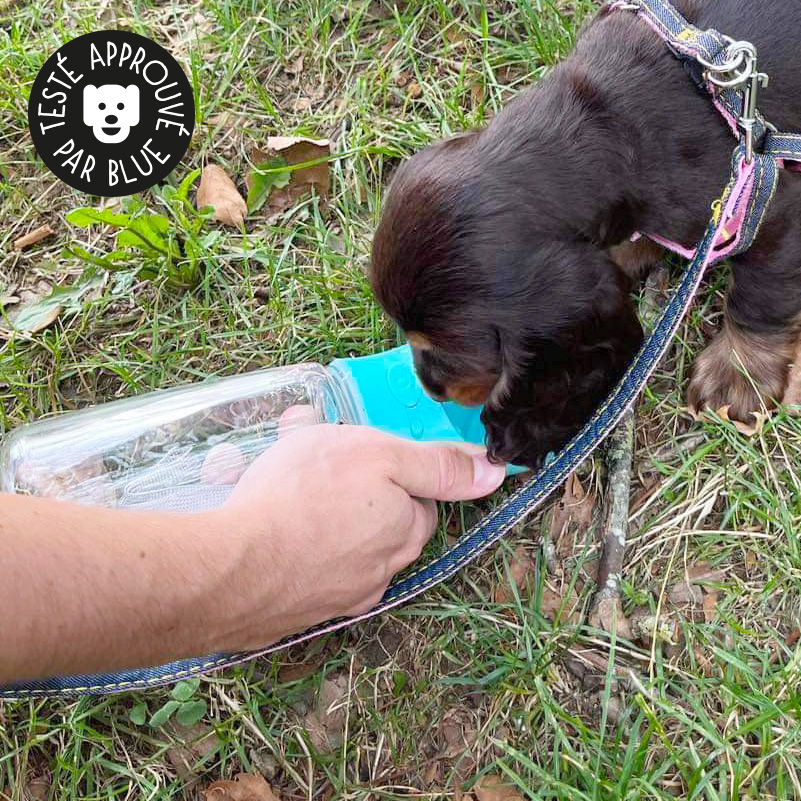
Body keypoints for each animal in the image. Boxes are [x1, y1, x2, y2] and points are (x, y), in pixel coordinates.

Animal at [368, 0, 800, 466]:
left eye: (445, 353)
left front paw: (736, 375)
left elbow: (759, 298)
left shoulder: (766, 203)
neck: (604, 123)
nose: (430, 387)